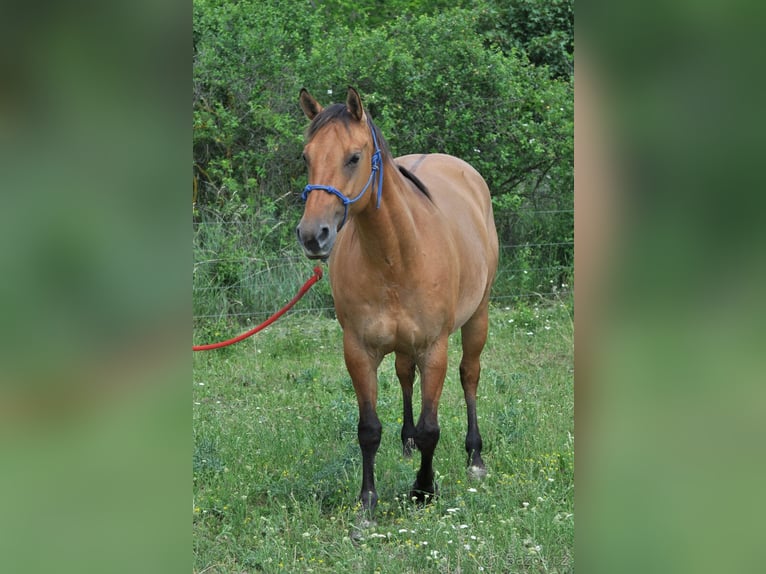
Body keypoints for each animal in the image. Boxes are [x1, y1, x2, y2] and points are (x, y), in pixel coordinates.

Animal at [296, 87, 499, 525]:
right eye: (306, 157)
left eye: (354, 157)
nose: (312, 235)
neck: (396, 254)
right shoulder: (358, 351)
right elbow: (369, 429)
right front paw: (367, 503)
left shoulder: (434, 349)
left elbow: (431, 428)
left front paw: (423, 490)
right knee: (406, 376)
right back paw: (406, 445)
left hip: (478, 317)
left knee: (470, 376)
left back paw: (475, 456)